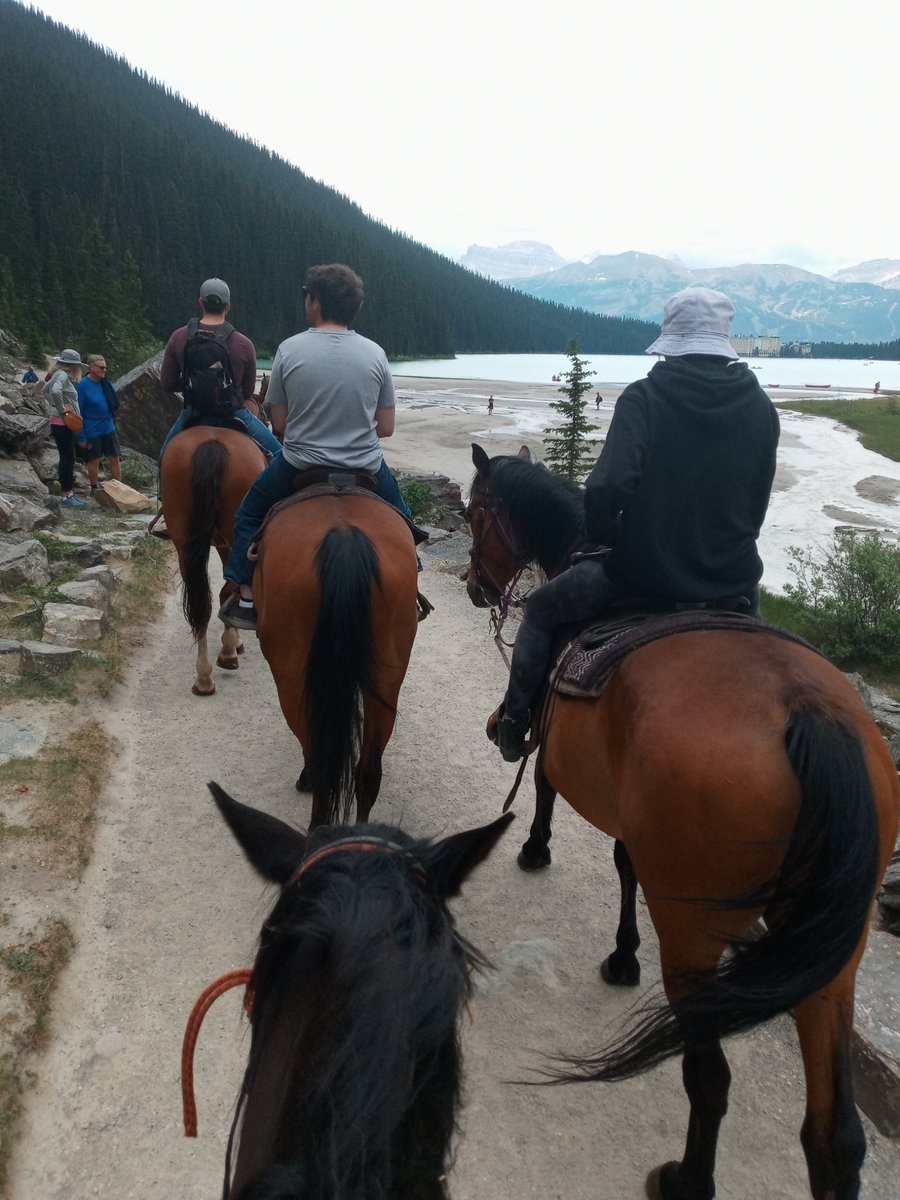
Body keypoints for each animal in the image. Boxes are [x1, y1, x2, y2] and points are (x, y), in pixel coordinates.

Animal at [160, 429, 266, 696]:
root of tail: (211, 445)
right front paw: (233, 644)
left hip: (184, 542)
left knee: (201, 605)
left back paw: (203, 677)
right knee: (226, 591)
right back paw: (225, 657)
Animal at [468, 444, 897, 1200]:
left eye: (475, 512)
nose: (472, 588)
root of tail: (808, 712)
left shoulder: (555, 742)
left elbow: (548, 790)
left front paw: (537, 850)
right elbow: (624, 864)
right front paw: (622, 952)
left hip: (696, 935)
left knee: (709, 1077)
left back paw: (686, 1179)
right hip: (834, 955)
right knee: (836, 1134)